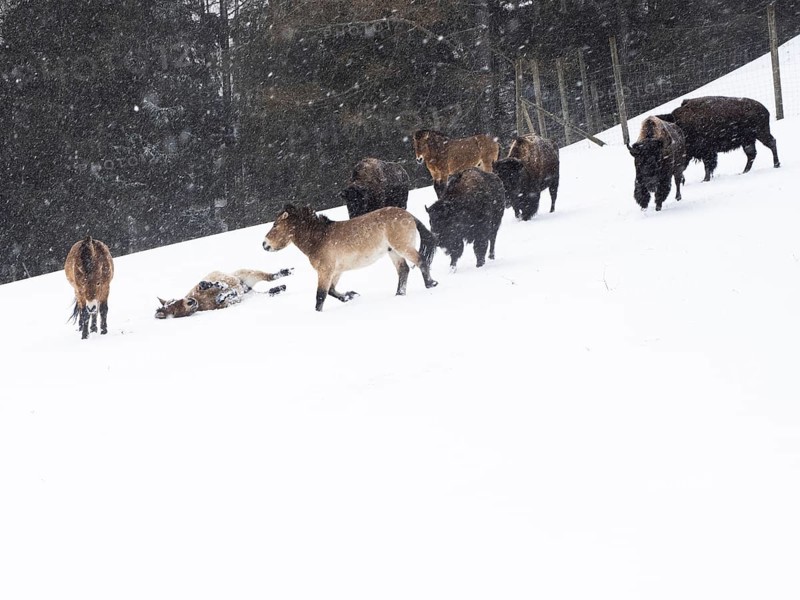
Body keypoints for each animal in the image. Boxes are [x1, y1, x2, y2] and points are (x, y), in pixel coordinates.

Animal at [155, 268, 293, 319]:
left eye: (173, 300)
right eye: (174, 312)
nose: (191, 302)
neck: (202, 299)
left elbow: (221, 285)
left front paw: (207, 285)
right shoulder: (229, 302)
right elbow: (228, 293)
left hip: (246, 273)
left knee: (269, 277)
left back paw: (287, 272)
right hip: (252, 294)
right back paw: (280, 287)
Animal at [262, 204, 438, 312]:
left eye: (275, 225)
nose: (264, 244)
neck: (319, 238)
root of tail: (408, 215)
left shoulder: (325, 271)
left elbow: (320, 296)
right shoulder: (336, 271)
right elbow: (332, 291)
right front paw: (351, 295)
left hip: (402, 247)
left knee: (421, 260)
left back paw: (431, 284)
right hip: (393, 252)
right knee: (403, 270)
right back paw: (399, 295)